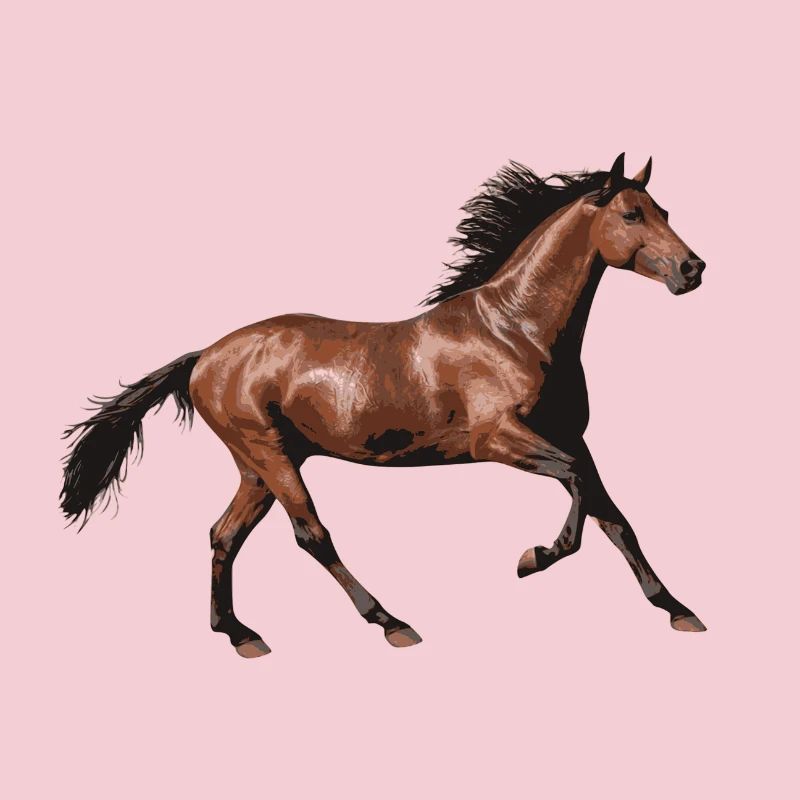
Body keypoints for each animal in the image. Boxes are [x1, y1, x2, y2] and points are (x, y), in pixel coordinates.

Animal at [60, 152, 708, 658]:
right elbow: (576, 493)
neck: (514, 330)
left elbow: (612, 514)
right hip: (269, 454)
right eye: (631, 214)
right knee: (310, 533)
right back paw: (391, 622)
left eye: (665, 212)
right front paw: (533, 557)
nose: (693, 268)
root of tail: (204, 357)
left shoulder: (572, 437)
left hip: (258, 465)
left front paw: (678, 609)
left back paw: (240, 634)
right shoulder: (498, 439)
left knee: (224, 534)